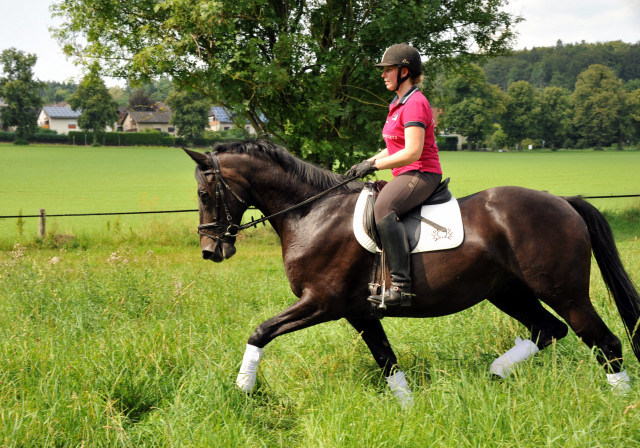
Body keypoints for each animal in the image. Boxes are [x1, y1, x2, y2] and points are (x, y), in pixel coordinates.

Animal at [182, 141, 636, 406]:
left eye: (204, 193)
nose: (210, 251)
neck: (312, 213)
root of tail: (562, 202)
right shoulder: (359, 312)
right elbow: (387, 361)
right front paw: (409, 410)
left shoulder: (321, 303)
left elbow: (260, 332)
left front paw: (243, 390)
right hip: (508, 290)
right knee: (547, 329)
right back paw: (496, 373)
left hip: (565, 292)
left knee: (604, 341)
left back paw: (620, 404)